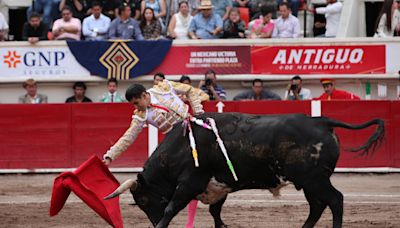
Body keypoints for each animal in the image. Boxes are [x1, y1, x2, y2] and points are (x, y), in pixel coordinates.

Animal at [104, 112, 384, 228]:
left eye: (142, 200)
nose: (151, 222)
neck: (183, 145)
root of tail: (322, 121)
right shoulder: (219, 186)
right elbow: (215, 212)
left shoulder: (190, 182)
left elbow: (172, 208)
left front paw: (160, 225)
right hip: (309, 182)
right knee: (317, 206)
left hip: (315, 179)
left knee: (335, 200)